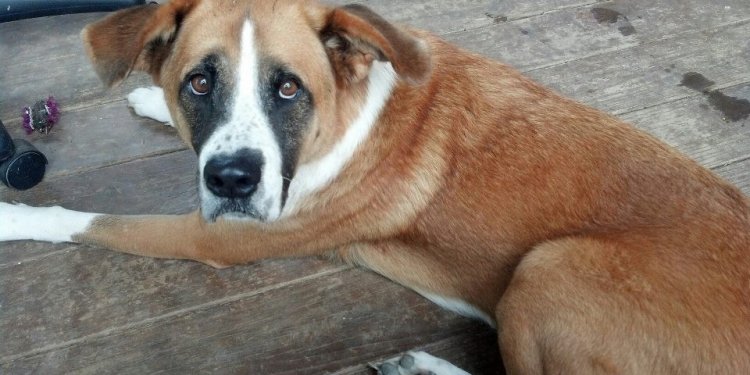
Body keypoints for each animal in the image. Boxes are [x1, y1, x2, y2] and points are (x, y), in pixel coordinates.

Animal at [1, 0, 750, 374]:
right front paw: (151, 103)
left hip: (548, 269)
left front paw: (13, 218)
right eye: (199, 81)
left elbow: (90, 218)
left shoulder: (220, 236)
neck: (345, 111)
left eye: (288, 88)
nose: (232, 178)